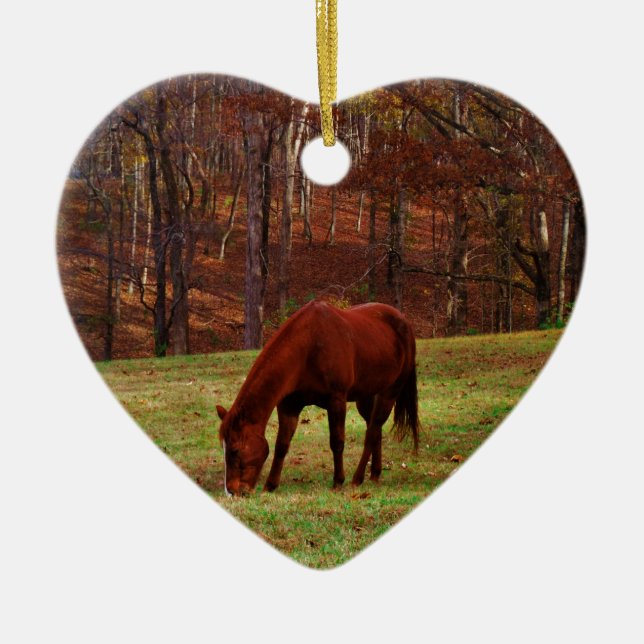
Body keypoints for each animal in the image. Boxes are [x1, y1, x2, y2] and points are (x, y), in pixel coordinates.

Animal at [216, 300, 420, 496]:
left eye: (234, 450)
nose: (231, 491)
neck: (308, 347)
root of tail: (404, 323)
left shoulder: (336, 401)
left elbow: (337, 442)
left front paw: (338, 481)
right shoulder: (289, 405)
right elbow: (282, 445)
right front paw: (270, 485)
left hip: (389, 393)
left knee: (372, 432)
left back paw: (357, 478)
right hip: (366, 397)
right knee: (375, 429)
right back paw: (375, 474)